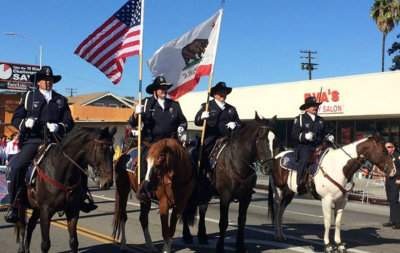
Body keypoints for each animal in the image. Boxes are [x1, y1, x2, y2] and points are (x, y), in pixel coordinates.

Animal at [181, 114, 278, 253]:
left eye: (274, 140)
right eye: (261, 139)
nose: (269, 168)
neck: (238, 162)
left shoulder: (246, 197)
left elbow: (242, 221)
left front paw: (240, 246)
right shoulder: (225, 196)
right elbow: (223, 222)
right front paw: (220, 247)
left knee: (202, 210)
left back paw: (202, 236)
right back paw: (187, 235)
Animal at [268, 136, 396, 253]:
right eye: (384, 151)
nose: (394, 171)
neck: (339, 167)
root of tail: (276, 157)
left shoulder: (342, 201)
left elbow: (338, 222)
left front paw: (339, 244)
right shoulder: (326, 200)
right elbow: (328, 221)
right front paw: (328, 245)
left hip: (289, 193)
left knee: (281, 212)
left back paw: (282, 235)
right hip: (279, 191)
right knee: (277, 209)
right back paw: (277, 235)